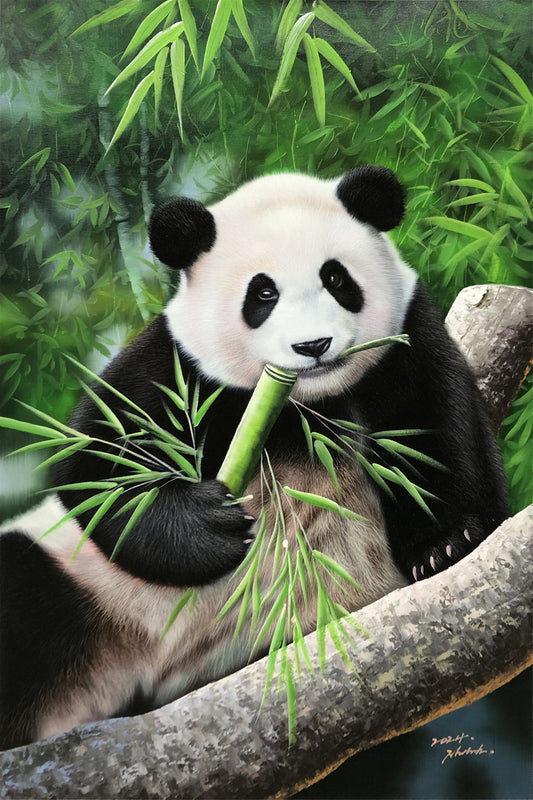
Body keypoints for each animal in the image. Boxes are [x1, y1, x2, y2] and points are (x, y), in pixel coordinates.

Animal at [0, 166, 509, 750]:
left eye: (336, 279)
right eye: (262, 293)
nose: (313, 346)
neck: (307, 406)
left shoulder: (404, 345)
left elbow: (438, 431)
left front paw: (443, 543)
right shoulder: (179, 367)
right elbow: (97, 462)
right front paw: (211, 526)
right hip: (85, 589)